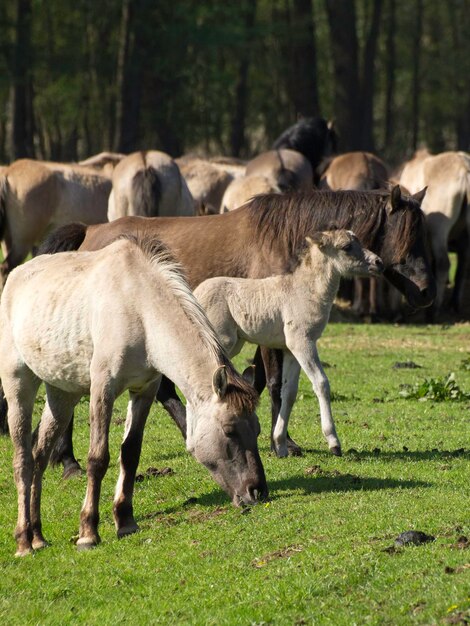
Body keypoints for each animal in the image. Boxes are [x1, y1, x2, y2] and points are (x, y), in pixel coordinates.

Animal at [0, 235, 266, 556]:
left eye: (257, 429)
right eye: (229, 430)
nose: (258, 491)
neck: (139, 309)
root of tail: (15, 277)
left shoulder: (144, 390)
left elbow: (130, 453)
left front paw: (125, 521)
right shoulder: (103, 387)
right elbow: (98, 458)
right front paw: (88, 532)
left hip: (62, 395)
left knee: (39, 456)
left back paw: (39, 536)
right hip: (19, 387)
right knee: (23, 461)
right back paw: (24, 540)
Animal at [194, 229, 382, 454]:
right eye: (346, 247)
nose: (379, 263)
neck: (306, 291)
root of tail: (194, 294)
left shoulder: (291, 349)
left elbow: (289, 392)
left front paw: (281, 444)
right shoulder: (302, 342)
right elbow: (321, 383)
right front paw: (334, 442)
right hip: (222, 340)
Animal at [400, 149, 470, 314]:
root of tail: (464, 167)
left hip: (440, 230)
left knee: (443, 262)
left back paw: (433, 308)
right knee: (462, 266)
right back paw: (454, 304)